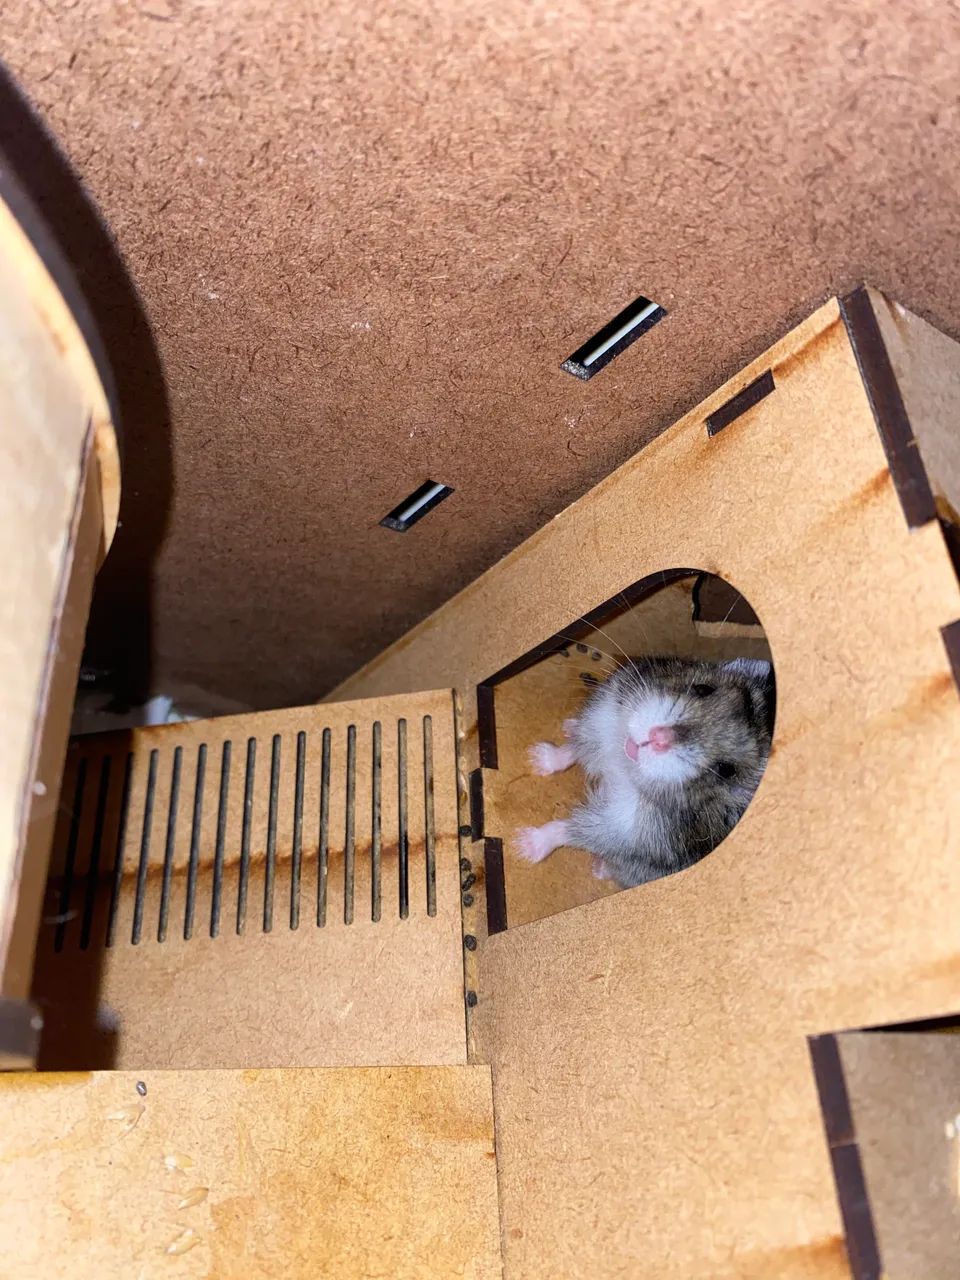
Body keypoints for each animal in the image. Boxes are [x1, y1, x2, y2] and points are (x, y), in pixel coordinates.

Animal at [517, 655, 775, 888]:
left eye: (726, 770)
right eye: (703, 689)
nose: (658, 738)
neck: (625, 767)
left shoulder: (622, 829)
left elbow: (568, 829)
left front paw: (522, 845)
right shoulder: (601, 722)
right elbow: (571, 751)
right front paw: (536, 757)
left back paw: (598, 868)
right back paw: (568, 727)